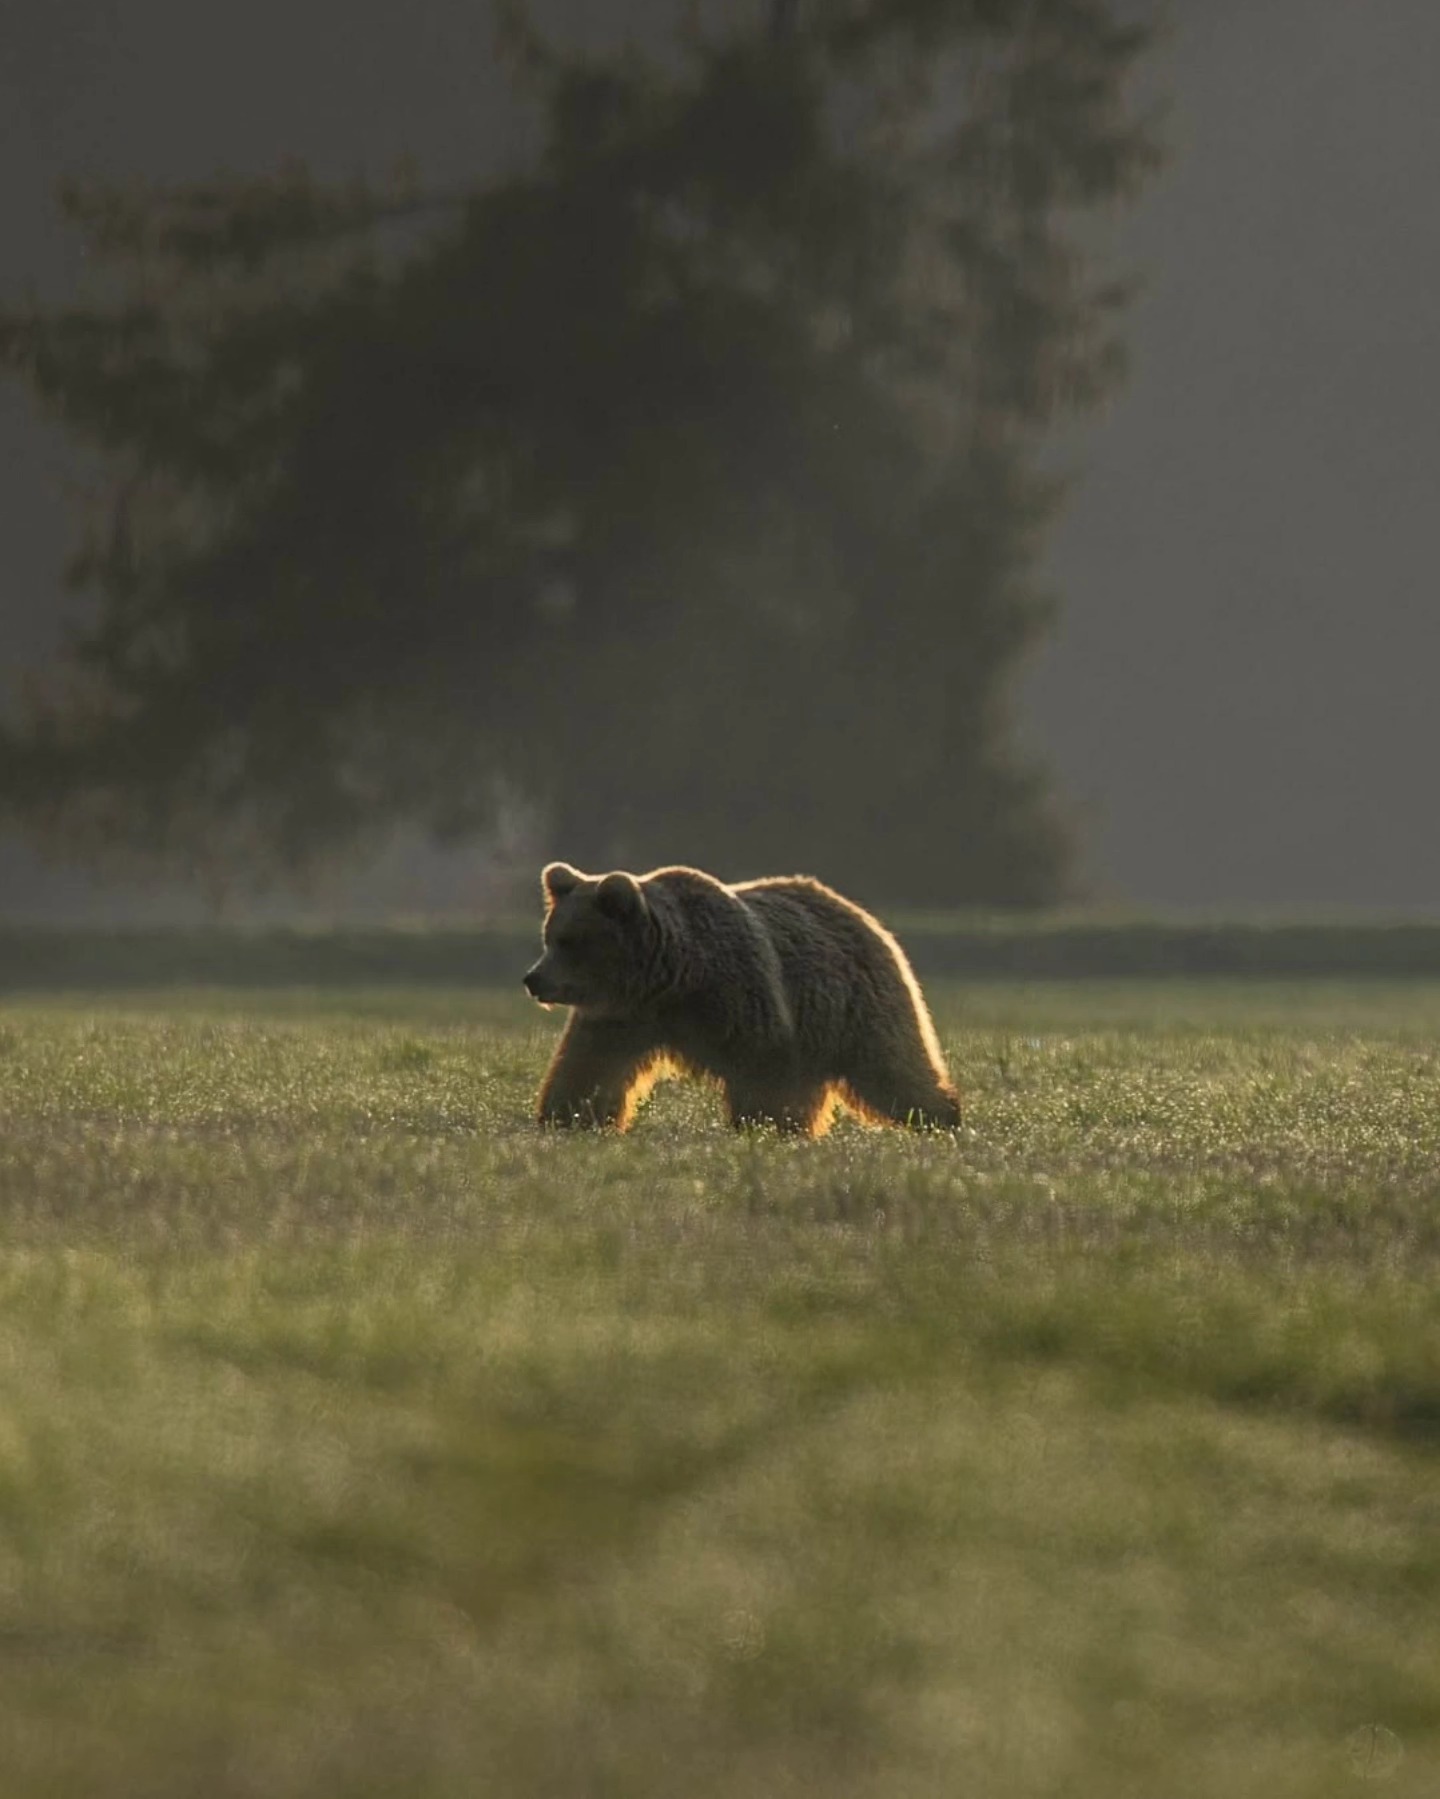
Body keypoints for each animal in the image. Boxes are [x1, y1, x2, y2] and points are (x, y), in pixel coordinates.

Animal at [523, 861, 961, 1135]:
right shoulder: (621, 1019)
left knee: (896, 1069)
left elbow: (763, 1069)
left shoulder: (743, 1000)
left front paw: (765, 1124)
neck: (671, 979)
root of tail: (860, 914)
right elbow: (587, 1069)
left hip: (856, 1007)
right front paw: (566, 1117)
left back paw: (941, 1118)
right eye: (550, 936)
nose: (533, 979)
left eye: (570, 941)